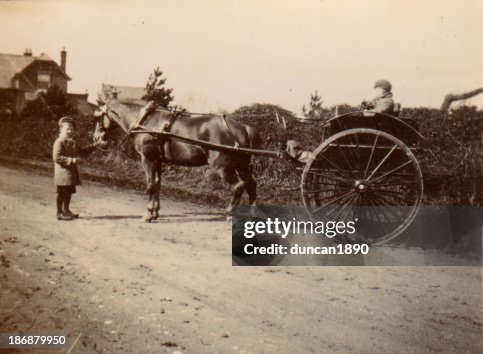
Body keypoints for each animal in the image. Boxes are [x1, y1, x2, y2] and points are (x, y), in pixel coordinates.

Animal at [92, 99, 260, 221]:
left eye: (98, 117)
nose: (96, 138)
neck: (145, 121)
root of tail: (243, 127)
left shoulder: (148, 158)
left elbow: (150, 185)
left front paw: (148, 214)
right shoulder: (158, 161)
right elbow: (157, 184)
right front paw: (155, 212)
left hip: (223, 167)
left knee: (238, 186)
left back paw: (230, 214)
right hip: (241, 165)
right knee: (251, 185)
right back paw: (253, 216)